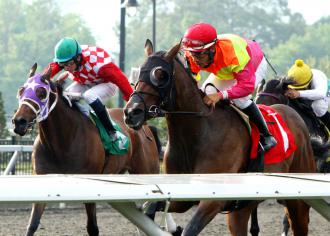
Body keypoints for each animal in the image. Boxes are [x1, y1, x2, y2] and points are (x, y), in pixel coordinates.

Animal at [11, 63, 159, 236]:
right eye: (21, 90)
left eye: (41, 93)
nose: (19, 121)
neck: (61, 144)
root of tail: (145, 127)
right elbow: (32, 224)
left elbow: (92, 227)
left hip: (147, 171)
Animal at [124, 40, 318, 236]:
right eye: (139, 72)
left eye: (161, 75)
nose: (131, 112)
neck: (198, 133)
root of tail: (292, 112)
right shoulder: (183, 197)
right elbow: (150, 208)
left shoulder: (213, 201)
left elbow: (190, 229)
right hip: (241, 208)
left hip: (298, 199)